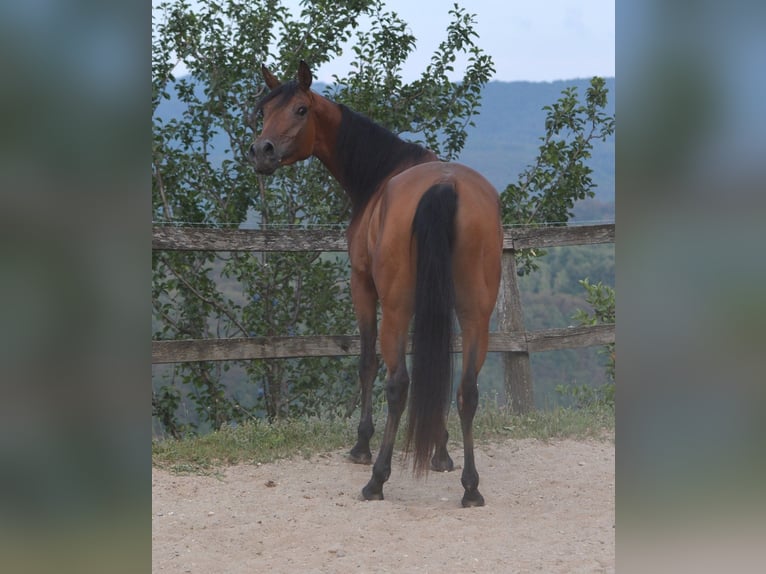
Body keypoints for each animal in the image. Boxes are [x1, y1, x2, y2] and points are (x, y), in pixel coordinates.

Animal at [250, 59, 504, 508]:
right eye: (264, 111)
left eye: (300, 109)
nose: (262, 151)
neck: (383, 173)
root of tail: (445, 186)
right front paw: (440, 452)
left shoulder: (363, 286)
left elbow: (367, 363)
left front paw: (361, 445)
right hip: (477, 312)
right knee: (467, 390)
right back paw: (471, 487)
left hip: (397, 306)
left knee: (397, 383)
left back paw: (376, 479)